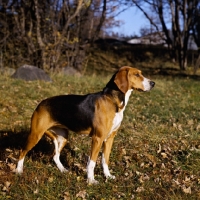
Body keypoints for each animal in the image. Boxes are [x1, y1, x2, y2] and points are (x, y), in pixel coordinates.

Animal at [15, 66, 155, 184]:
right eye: (136, 74)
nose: (153, 83)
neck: (112, 100)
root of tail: (40, 104)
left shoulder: (109, 138)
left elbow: (105, 160)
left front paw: (108, 176)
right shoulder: (97, 138)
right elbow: (92, 162)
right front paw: (91, 180)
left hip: (63, 137)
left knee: (55, 156)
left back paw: (63, 170)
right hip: (36, 134)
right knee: (22, 151)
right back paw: (18, 170)